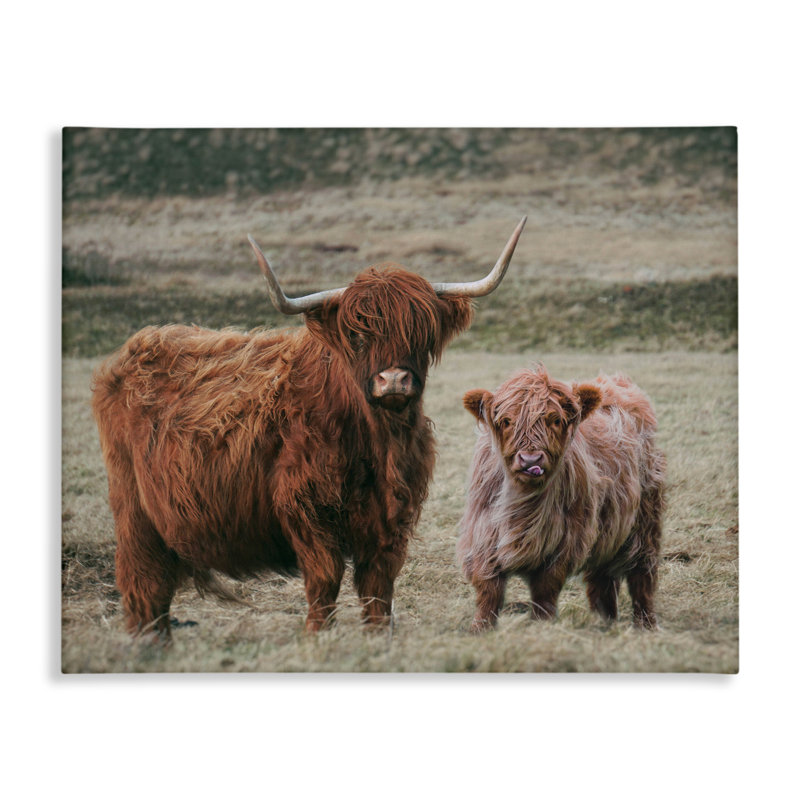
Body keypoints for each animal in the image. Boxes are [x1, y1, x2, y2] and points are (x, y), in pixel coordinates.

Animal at [91, 218, 527, 641]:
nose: (393, 380)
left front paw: (377, 636)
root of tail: (136, 346)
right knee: (143, 579)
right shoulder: (306, 507)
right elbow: (325, 578)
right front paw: (318, 635)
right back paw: (148, 644)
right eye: (357, 335)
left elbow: (378, 584)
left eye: (422, 332)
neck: (376, 444)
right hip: (133, 506)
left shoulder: (392, 516)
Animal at [457, 364, 665, 632]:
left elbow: (545, 590)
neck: (524, 505)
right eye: (506, 421)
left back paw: (645, 625)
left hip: (645, 520)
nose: (530, 460)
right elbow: (488, 590)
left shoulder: (565, 542)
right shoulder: (483, 535)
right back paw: (604, 622)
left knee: (642, 574)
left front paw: (541, 626)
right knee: (602, 578)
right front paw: (480, 629)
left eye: (555, 420)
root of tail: (615, 381)